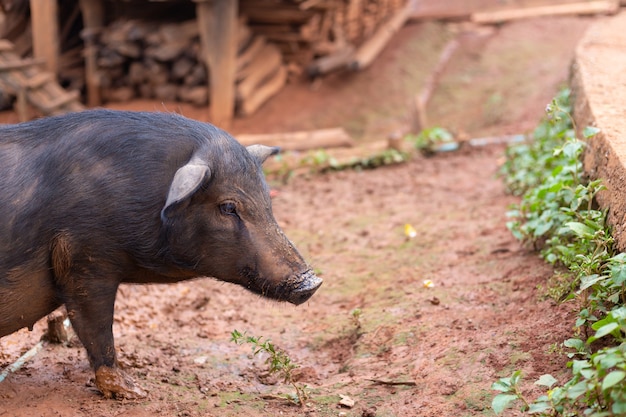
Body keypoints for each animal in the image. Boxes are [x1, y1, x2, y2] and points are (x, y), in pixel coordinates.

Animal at [0, 109, 322, 398]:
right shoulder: (85, 258)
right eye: (228, 207)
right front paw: (135, 391)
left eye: (268, 200)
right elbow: (96, 327)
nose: (312, 282)